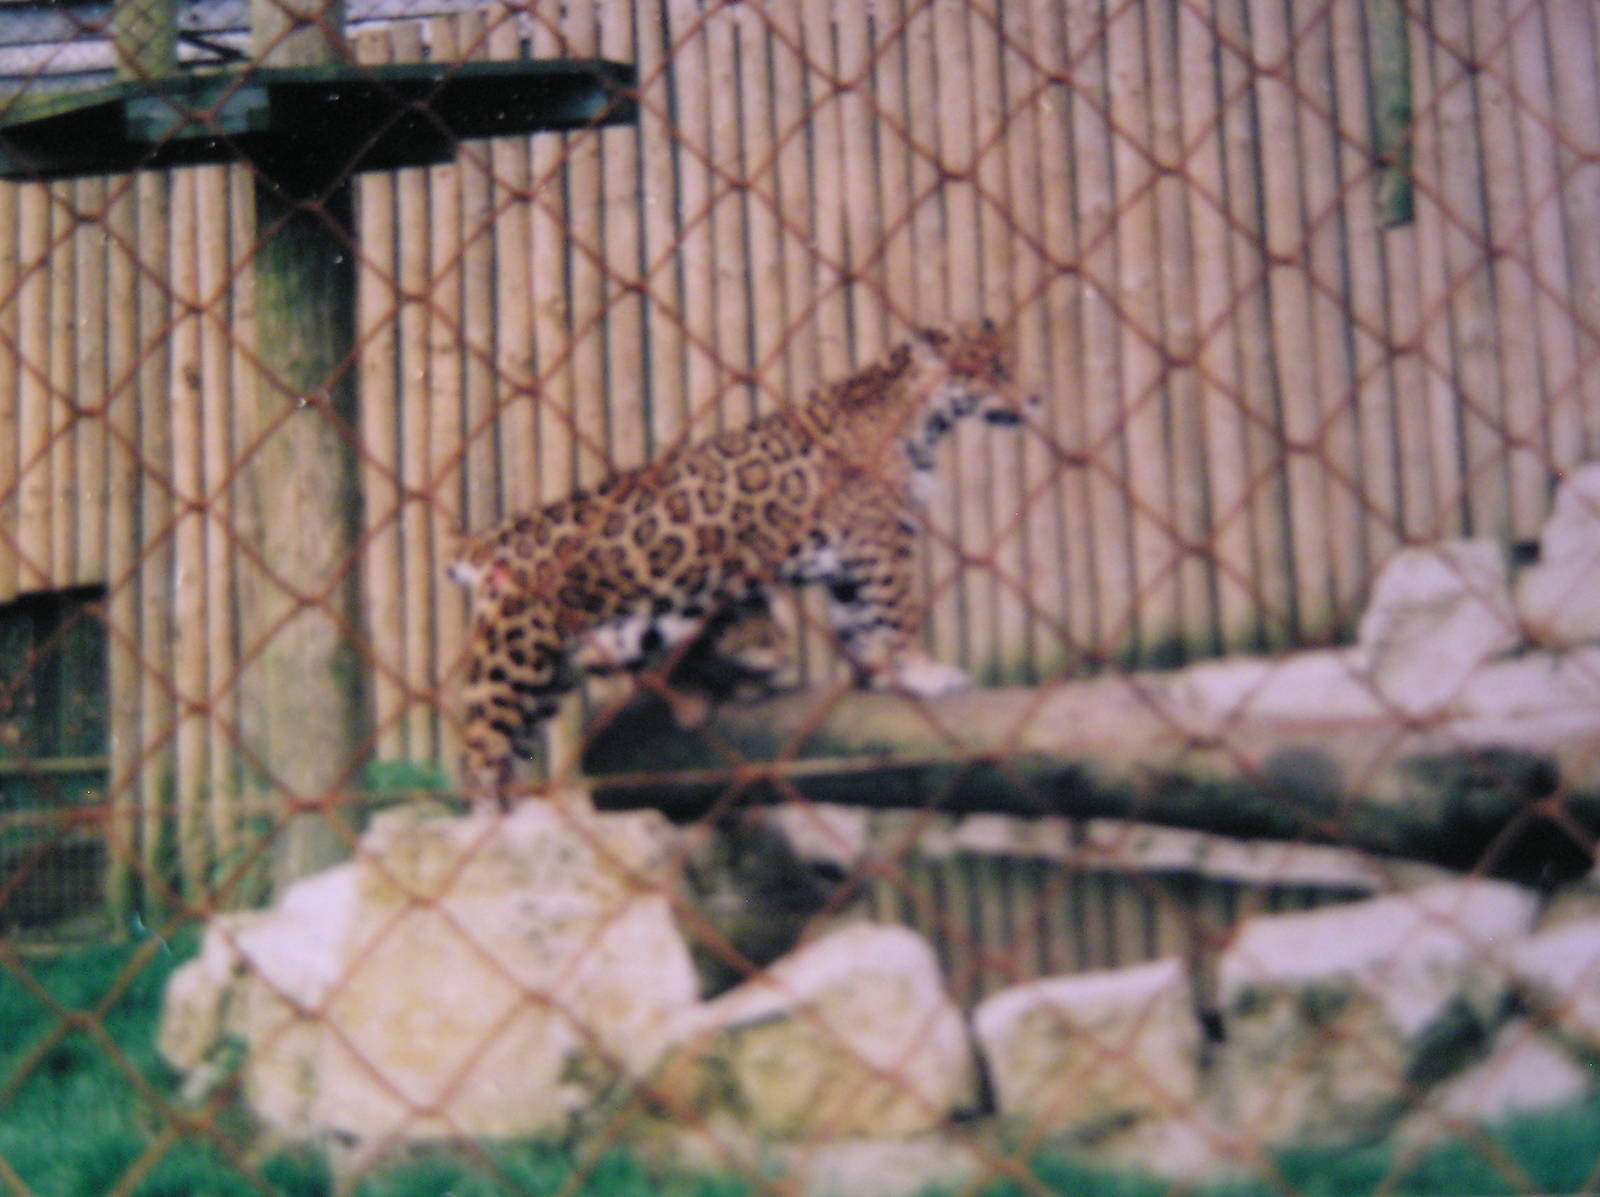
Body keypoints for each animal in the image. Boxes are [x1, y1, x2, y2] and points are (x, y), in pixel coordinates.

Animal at [448, 319, 1038, 805]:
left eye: (1010, 363)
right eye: (993, 369)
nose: (1033, 400)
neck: (917, 415)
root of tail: (492, 537)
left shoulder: (853, 558)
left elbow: (858, 621)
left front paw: (876, 672)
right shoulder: (880, 544)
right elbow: (895, 616)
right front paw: (922, 673)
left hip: (560, 662)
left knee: (511, 746)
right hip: (516, 657)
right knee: (478, 748)